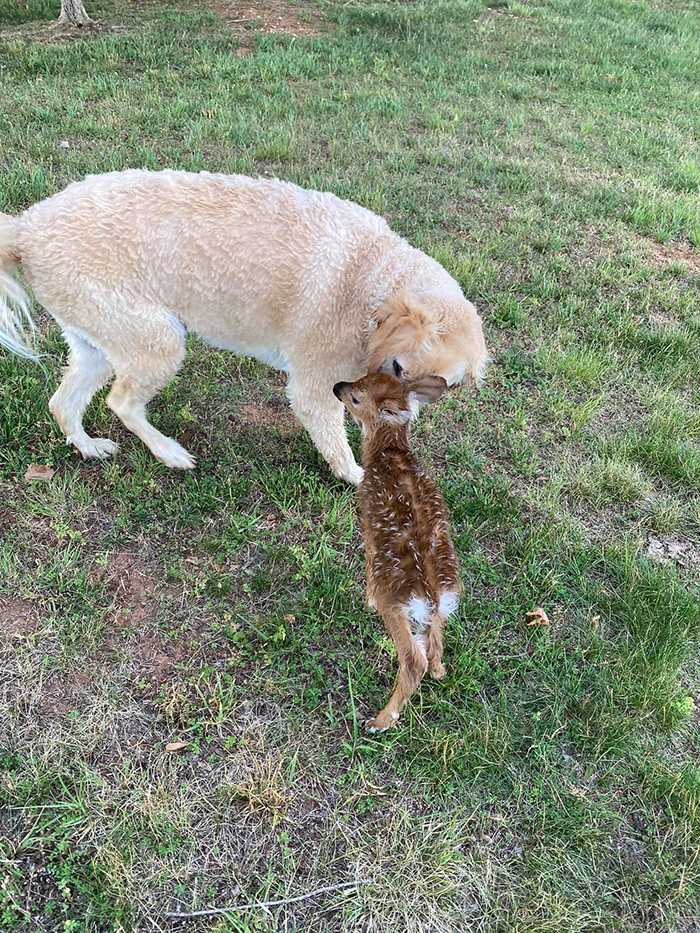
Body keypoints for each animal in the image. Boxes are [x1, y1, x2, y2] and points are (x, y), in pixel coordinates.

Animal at [0, 168, 486, 484]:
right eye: (399, 367)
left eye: (433, 388)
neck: (372, 277)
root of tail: (27, 227)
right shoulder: (315, 387)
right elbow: (336, 438)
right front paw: (356, 475)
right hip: (156, 338)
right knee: (121, 402)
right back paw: (169, 453)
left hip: (99, 340)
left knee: (63, 403)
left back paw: (88, 446)